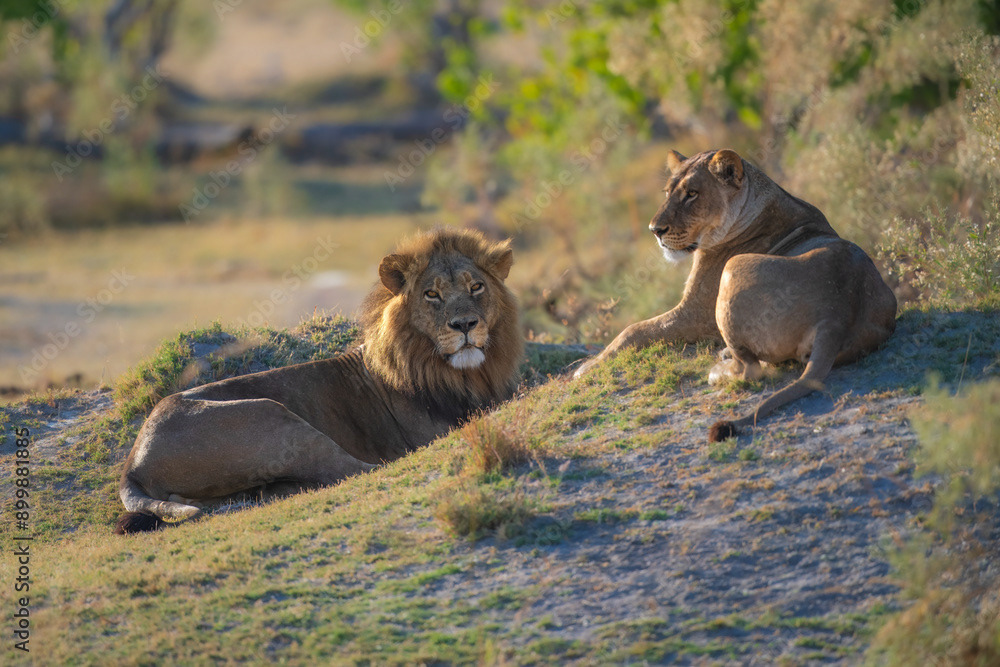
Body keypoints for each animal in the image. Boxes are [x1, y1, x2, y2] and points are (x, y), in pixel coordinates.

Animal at [115, 228, 523, 534]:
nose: (465, 325)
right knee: (356, 469)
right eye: (432, 294)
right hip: (273, 417)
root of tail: (132, 463)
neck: (465, 373)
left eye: (476, 288)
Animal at [574, 149, 896, 440]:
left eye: (692, 194)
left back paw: (719, 369)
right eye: (667, 192)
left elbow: (632, 330)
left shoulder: (695, 314)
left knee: (751, 370)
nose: (655, 230)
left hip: (734, 267)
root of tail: (837, 315)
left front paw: (586, 368)